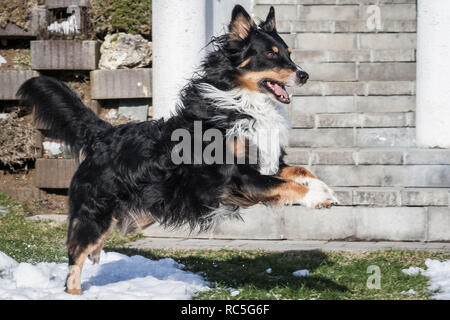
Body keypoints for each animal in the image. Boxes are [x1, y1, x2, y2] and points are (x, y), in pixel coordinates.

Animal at [19, 5, 340, 296]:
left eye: (288, 52)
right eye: (271, 54)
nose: (304, 75)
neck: (241, 103)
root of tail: (105, 134)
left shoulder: (263, 164)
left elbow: (298, 170)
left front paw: (325, 191)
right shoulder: (237, 179)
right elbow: (287, 185)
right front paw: (315, 198)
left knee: (87, 250)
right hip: (94, 211)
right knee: (75, 259)